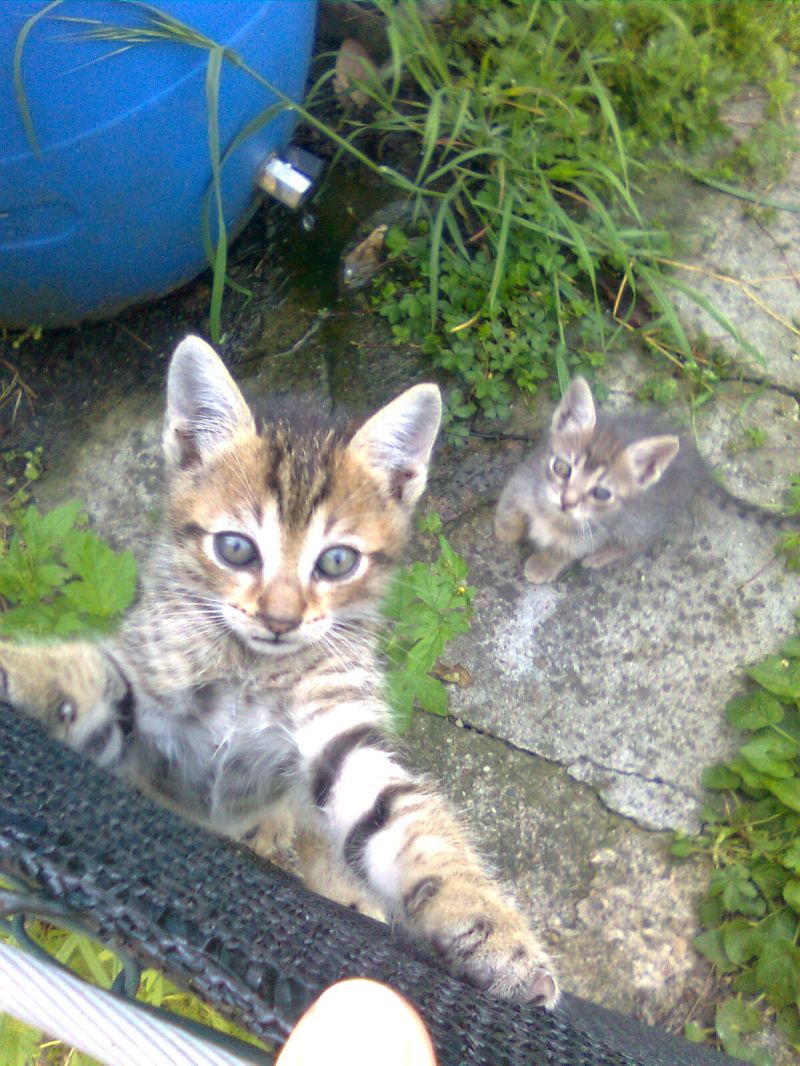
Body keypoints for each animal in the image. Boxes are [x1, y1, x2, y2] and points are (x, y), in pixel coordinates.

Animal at [0, 334, 558, 1006]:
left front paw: (494, 931)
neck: (252, 668)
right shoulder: (153, 684)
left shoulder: (339, 729)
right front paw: (22, 671)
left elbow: (407, 817)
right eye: (236, 548)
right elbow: (93, 677)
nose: (280, 619)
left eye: (337, 562)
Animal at [499, 375, 793, 584]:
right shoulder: (525, 478)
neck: (553, 516)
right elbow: (509, 507)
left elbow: (565, 551)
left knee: (643, 542)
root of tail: (696, 462)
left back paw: (603, 555)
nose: (567, 501)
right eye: (562, 467)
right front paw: (507, 532)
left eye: (601, 493)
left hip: (642, 521)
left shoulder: (593, 532)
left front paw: (543, 565)